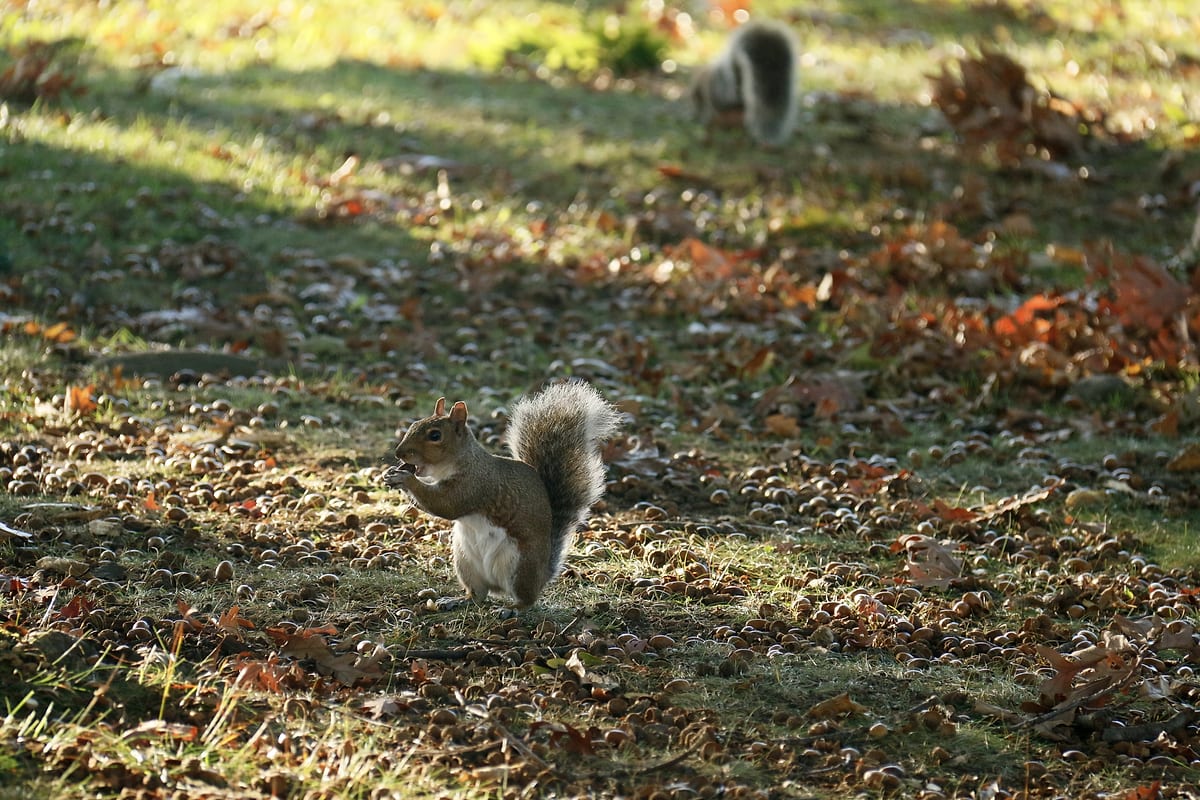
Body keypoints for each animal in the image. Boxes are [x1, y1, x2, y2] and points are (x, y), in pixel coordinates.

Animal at [382, 381, 620, 609]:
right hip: (466, 562)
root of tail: (542, 575)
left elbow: (446, 504)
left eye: (435, 435)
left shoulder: (475, 485)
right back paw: (458, 600)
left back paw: (513, 608)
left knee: (527, 599)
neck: (463, 461)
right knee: (478, 594)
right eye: (413, 425)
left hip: (521, 566)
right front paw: (391, 473)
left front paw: (405, 479)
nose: (399, 453)